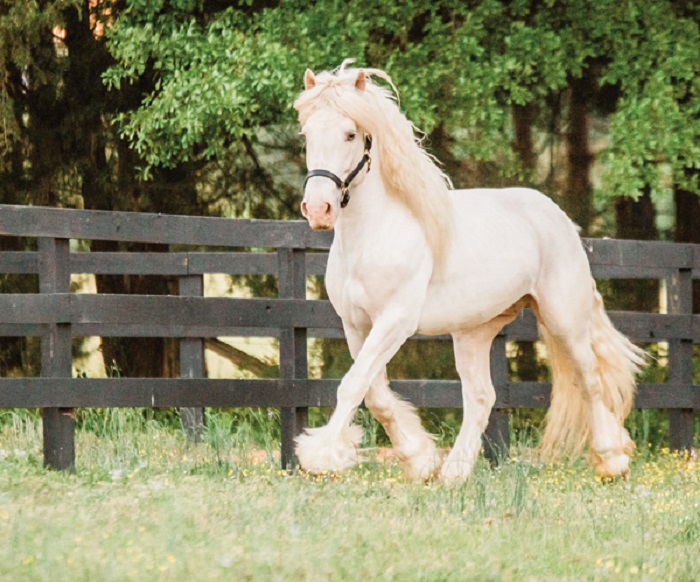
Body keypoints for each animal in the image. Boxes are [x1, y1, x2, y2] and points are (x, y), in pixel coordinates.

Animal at [293, 60, 645, 483]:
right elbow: (374, 393)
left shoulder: (395, 321)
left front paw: (320, 456)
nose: (318, 209)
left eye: (350, 133)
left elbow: (353, 385)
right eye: (307, 133)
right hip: (473, 333)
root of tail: (559, 218)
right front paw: (419, 460)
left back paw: (611, 459)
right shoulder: (355, 325)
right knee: (481, 397)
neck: (373, 236)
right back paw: (454, 473)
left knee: (589, 380)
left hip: (564, 320)